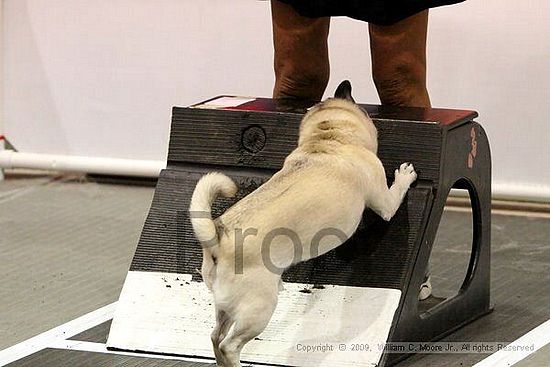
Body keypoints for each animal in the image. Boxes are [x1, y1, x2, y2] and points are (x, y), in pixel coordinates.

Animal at [190, 81, 418, 367]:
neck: (328, 138)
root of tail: (218, 239)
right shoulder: (385, 202)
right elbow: (395, 193)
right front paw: (405, 176)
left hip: (225, 307)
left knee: (215, 336)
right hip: (259, 310)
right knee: (229, 344)